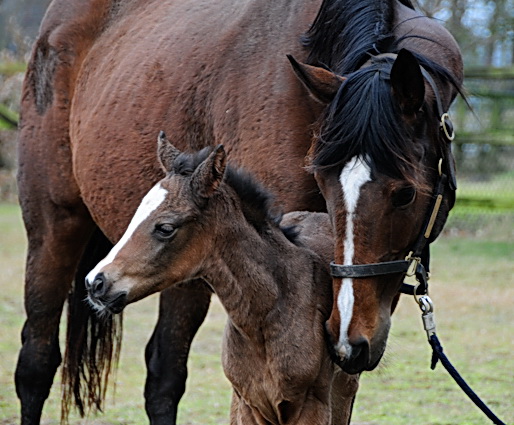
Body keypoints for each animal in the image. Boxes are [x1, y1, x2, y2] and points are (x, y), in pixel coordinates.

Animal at [16, 0, 460, 422]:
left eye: (405, 194)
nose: (348, 340)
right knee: (37, 364)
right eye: (322, 180)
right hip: (55, 226)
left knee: (163, 375)